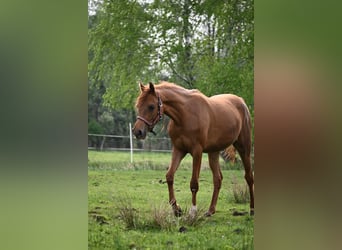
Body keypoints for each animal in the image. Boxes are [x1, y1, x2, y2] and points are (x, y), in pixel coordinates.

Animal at [132, 81, 254, 216]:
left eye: (151, 106)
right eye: (138, 105)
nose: (137, 131)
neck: (184, 115)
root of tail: (241, 102)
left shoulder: (197, 152)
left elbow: (194, 183)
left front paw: (193, 211)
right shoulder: (178, 150)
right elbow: (169, 176)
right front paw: (176, 209)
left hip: (244, 148)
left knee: (249, 177)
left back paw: (252, 209)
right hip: (213, 152)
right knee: (217, 178)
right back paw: (210, 210)